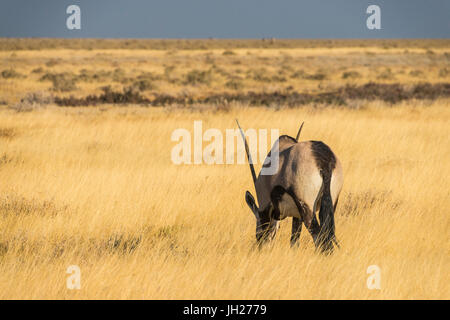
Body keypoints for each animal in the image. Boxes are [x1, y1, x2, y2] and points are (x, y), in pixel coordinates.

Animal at [237, 120, 342, 252]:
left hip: (307, 210)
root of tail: (324, 162)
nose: (262, 247)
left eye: (258, 233)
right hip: (330, 205)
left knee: (320, 239)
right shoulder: (297, 216)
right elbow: (294, 241)